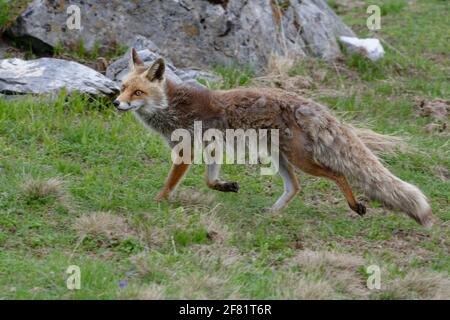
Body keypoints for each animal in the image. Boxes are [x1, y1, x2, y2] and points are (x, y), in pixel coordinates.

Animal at [114, 48, 434, 226]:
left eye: (138, 92)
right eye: (122, 87)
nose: (116, 103)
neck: (171, 107)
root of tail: (310, 104)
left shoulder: (187, 152)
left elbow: (169, 185)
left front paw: (157, 202)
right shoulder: (212, 149)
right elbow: (209, 180)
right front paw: (225, 186)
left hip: (301, 160)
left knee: (338, 173)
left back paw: (355, 206)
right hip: (279, 158)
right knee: (295, 187)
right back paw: (271, 213)